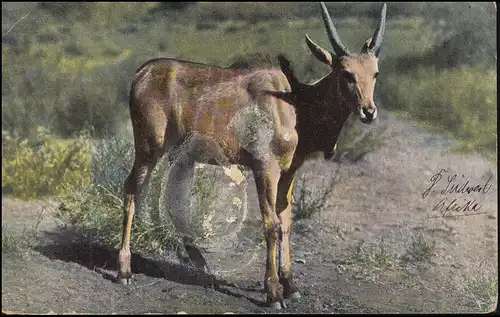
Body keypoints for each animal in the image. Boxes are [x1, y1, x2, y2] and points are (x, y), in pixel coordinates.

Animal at [117, 2, 386, 308]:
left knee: (174, 202)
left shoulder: (289, 172)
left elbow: (285, 221)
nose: (368, 111)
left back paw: (204, 269)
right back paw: (124, 269)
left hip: (181, 158)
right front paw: (273, 293)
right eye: (346, 73)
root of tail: (142, 73)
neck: (295, 102)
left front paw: (291, 285)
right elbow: (271, 224)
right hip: (149, 148)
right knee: (131, 188)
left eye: (375, 73)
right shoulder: (264, 168)